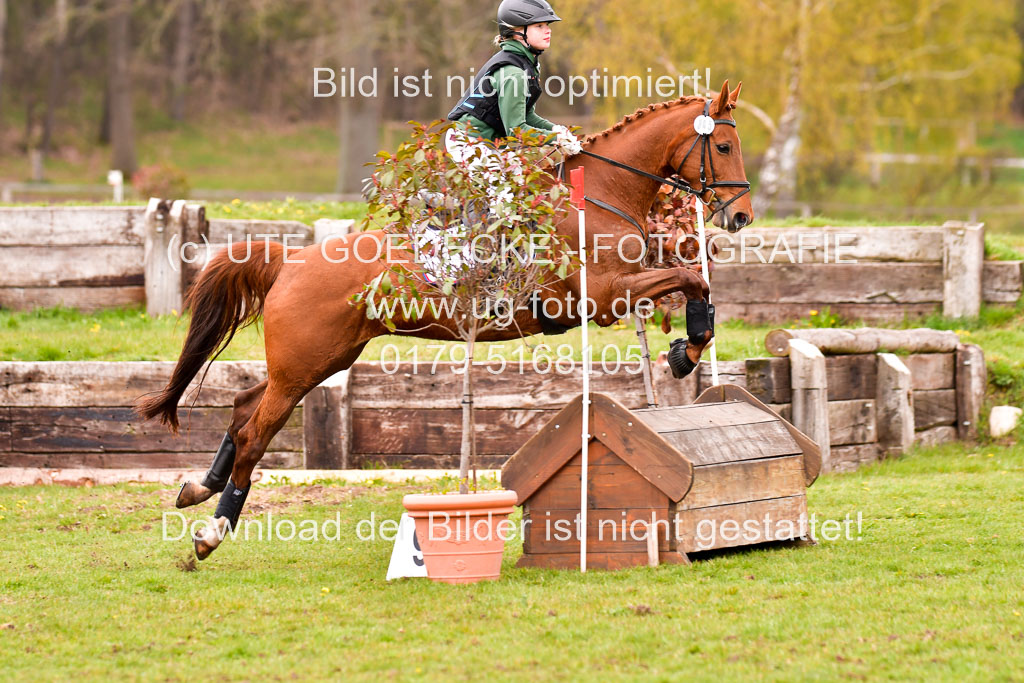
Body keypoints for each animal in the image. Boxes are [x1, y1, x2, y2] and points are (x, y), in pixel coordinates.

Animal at [134, 81, 753, 561]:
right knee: (256, 432)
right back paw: (213, 531)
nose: (743, 216)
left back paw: (197, 488)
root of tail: (292, 259)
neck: (600, 194)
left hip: (321, 359)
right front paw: (686, 351)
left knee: (244, 408)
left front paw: (684, 349)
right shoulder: (600, 298)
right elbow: (691, 279)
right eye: (723, 145)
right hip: (304, 363)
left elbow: (691, 280)